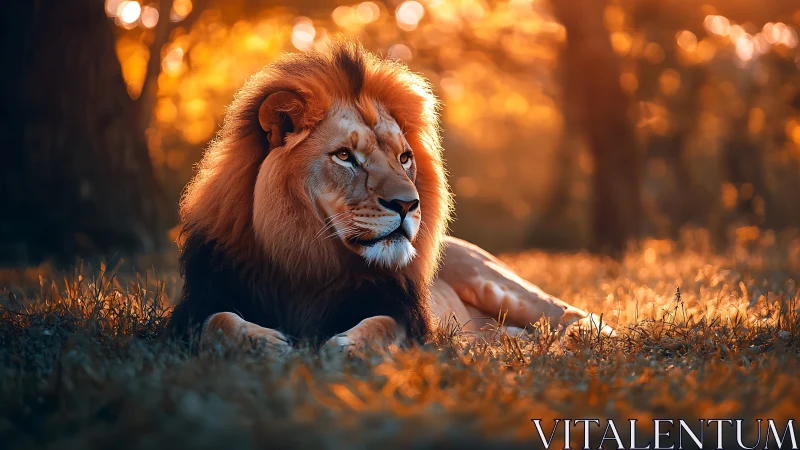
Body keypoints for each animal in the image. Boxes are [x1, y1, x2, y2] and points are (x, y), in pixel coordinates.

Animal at [167, 41, 608, 352]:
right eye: (345, 156)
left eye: (404, 157)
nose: (408, 204)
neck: (306, 254)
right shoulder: (190, 312)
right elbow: (217, 322)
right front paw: (268, 343)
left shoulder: (410, 319)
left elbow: (382, 326)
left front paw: (344, 347)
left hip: (497, 283)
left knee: (569, 312)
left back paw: (575, 337)